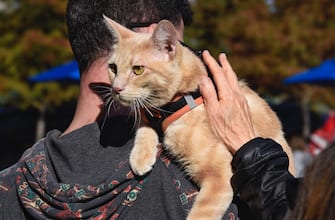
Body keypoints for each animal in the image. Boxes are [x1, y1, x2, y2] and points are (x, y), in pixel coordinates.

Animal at [103, 15, 296, 220]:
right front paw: (141, 157)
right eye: (113, 68)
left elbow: (200, 215)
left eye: (138, 69)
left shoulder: (219, 176)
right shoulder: (148, 114)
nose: (115, 88)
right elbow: (143, 124)